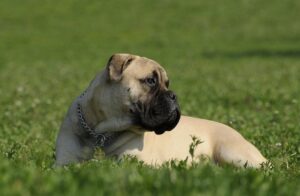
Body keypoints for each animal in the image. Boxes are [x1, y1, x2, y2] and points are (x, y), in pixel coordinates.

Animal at [55, 53, 266, 167]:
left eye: (167, 84)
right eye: (150, 81)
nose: (173, 95)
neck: (102, 132)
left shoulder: (134, 163)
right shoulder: (63, 163)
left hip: (232, 153)